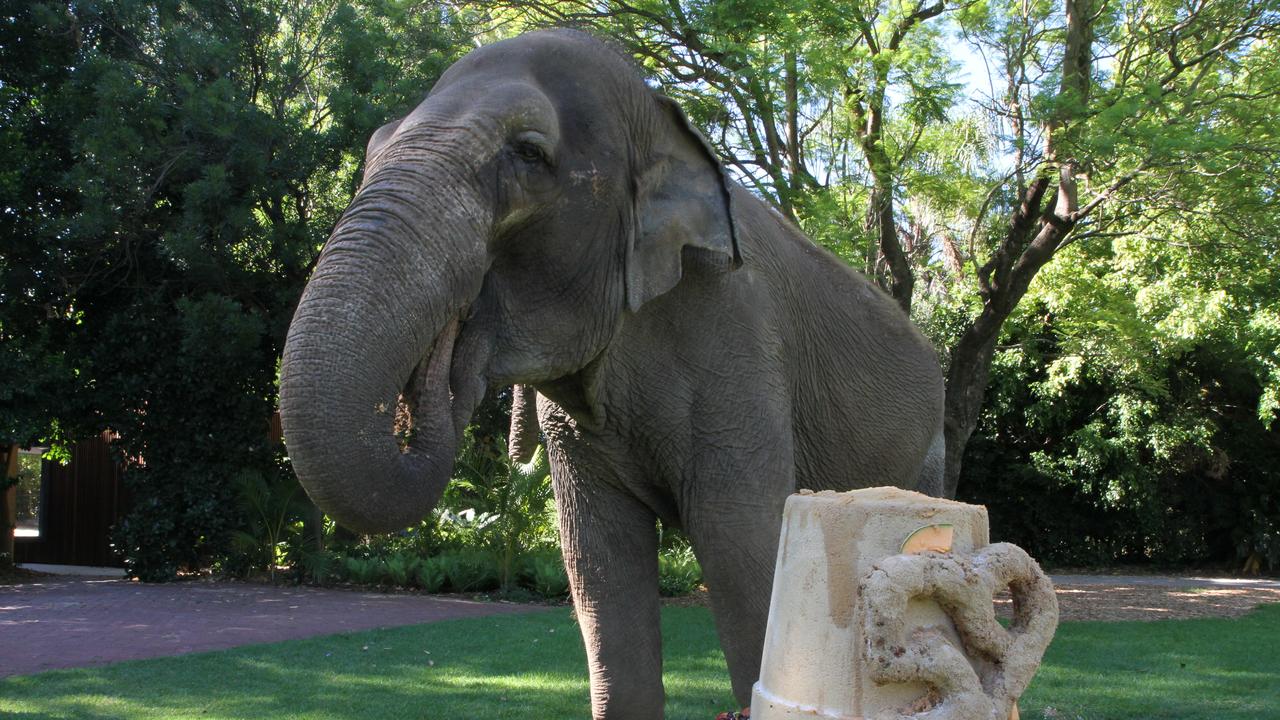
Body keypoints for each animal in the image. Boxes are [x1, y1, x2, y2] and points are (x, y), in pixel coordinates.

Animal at [277, 28, 942, 717]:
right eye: (373, 147)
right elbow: (598, 559)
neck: (661, 120)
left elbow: (742, 546)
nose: (450, 347)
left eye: (528, 152)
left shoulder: (739, 342)